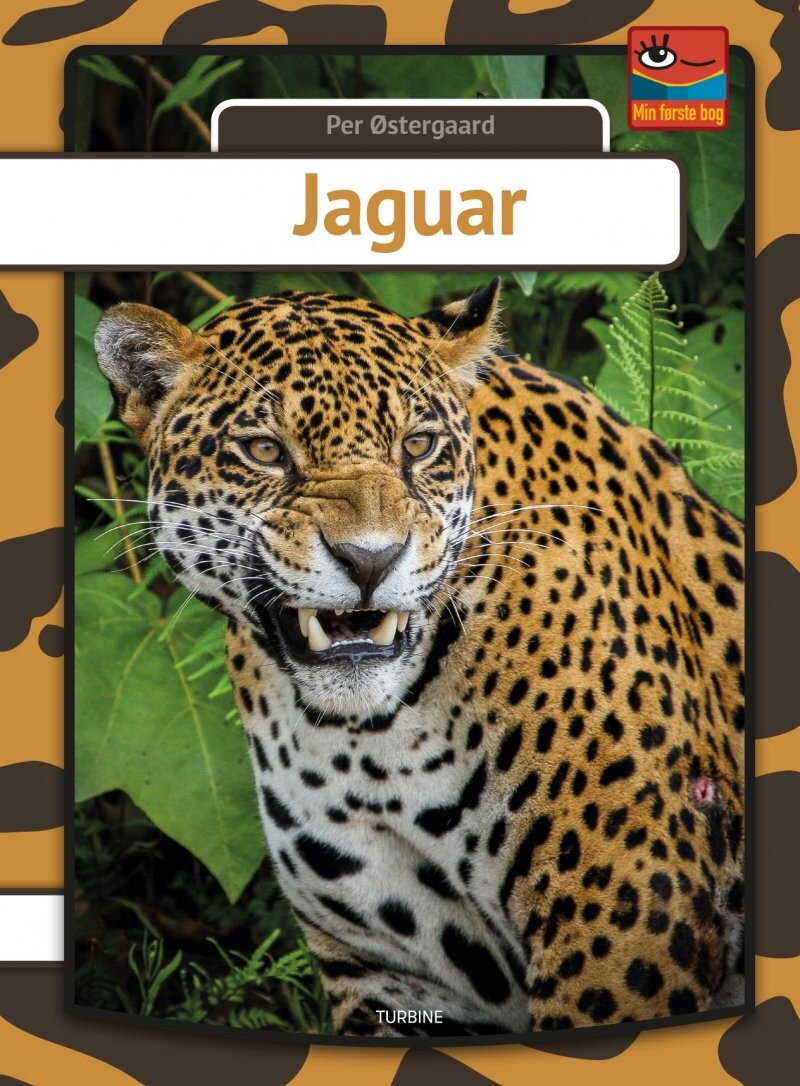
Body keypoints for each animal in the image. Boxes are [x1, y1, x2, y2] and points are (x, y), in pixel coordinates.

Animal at [94, 280, 745, 1038]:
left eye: (419, 444)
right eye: (262, 450)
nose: (370, 559)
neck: (370, 745)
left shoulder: (628, 919)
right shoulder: (386, 970)